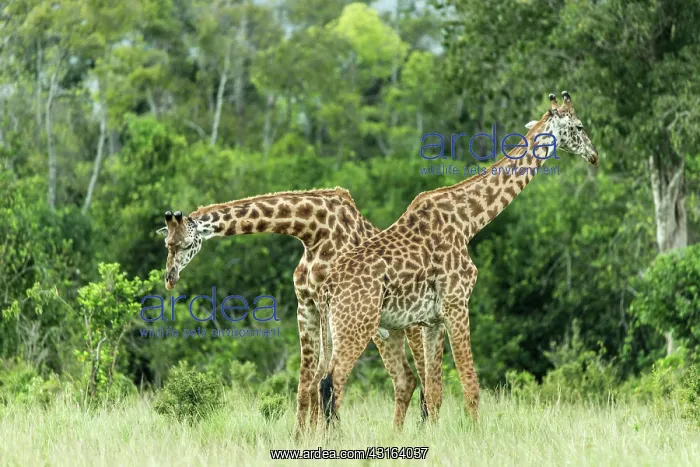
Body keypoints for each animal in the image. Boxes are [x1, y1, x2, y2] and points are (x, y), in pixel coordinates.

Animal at [156, 188, 430, 436]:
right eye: (167, 244)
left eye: (187, 244)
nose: (170, 278)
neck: (313, 233)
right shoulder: (305, 306)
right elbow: (305, 382)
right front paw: (299, 436)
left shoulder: (324, 304)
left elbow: (319, 377)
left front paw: (319, 435)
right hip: (385, 329)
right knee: (405, 380)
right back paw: (397, 435)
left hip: (409, 324)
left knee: (424, 374)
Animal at [315, 91, 599, 427]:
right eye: (579, 126)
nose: (594, 156)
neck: (468, 222)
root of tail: (326, 290)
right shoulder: (457, 303)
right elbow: (470, 385)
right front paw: (476, 433)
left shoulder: (432, 320)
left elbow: (434, 395)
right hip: (356, 326)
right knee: (331, 384)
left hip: (332, 331)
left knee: (320, 383)